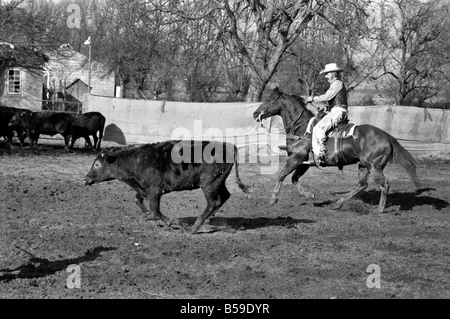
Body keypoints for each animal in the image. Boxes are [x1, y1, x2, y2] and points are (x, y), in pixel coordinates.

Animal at [84, 141, 250, 234]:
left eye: (97, 164)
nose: (86, 179)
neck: (135, 161)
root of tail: (229, 146)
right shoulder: (143, 188)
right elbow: (139, 201)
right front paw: (147, 215)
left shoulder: (155, 190)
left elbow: (155, 209)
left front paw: (174, 223)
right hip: (218, 182)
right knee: (223, 197)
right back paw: (208, 220)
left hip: (208, 184)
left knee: (212, 202)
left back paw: (195, 227)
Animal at [253, 86, 422, 214]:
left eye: (268, 100)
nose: (255, 114)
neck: (301, 127)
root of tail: (388, 136)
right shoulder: (304, 162)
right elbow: (294, 179)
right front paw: (310, 195)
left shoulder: (296, 158)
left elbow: (281, 175)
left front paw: (273, 198)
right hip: (363, 165)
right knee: (362, 185)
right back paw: (339, 203)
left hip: (374, 166)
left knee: (384, 185)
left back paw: (379, 210)